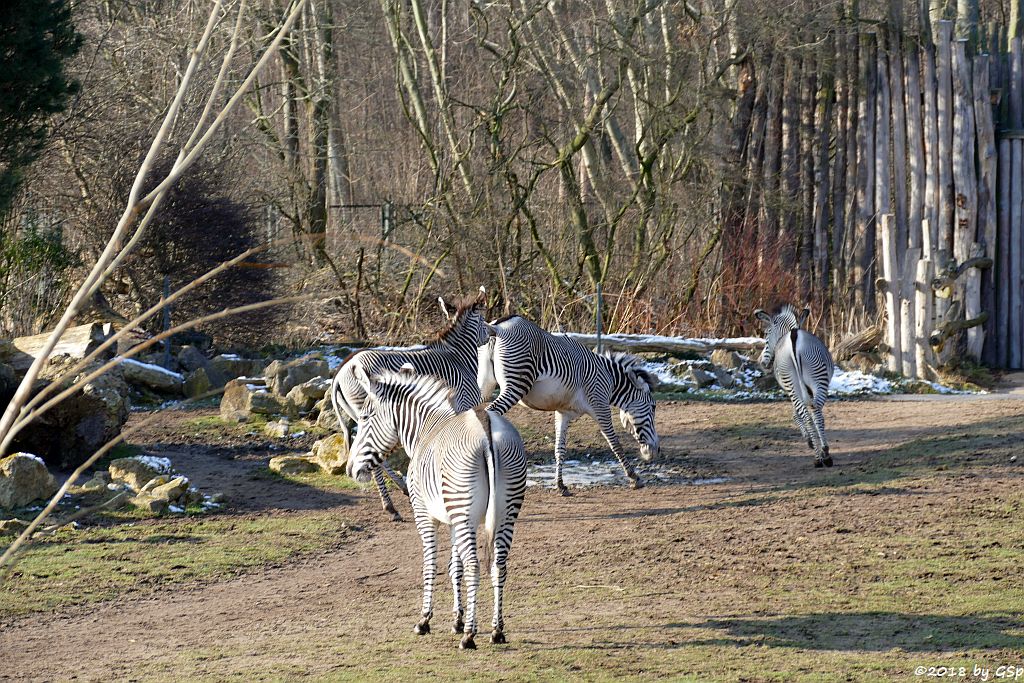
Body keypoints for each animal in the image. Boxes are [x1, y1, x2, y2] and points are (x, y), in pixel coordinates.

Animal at [327, 294, 487, 524]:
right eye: (485, 320)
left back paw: (401, 489)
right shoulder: (463, 405)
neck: (459, 358)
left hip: (358, 414)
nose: (492, 333)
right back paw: (391, 507)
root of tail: (340, 372)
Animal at [350, 366, 532, 651]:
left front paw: (425, 620)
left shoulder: (424, 514)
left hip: (465, 509)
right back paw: (496, 630)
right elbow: (454, 567)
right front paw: (457, 620)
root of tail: (485, 424)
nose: (351, 469)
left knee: (474, 566)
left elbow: (431, 564)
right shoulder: (454, 520)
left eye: (366, 417)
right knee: (498, 565)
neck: (425, 430)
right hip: (505, 511)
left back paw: (470, 637)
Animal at [475, 313, 659, 493]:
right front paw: (634, 478)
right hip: (515, 386)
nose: (655, 451)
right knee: (489, 415)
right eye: (653, 407)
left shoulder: (563, 412)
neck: (610, 379)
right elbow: (615, 443)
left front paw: (561, 485)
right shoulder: (600, 406)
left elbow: (560, 449)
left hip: (484, 384)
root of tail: (497, 327)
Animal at [757, 305, 835, 471]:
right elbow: (799, 414)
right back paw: (823, 455)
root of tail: (794, 337)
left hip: (799, 382)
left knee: (810, 414)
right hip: (816, 381)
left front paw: (810, 440)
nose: (762, 363)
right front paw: (812, 441)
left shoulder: (792, 391)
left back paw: (820, 457)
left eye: (766, 335)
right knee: (814, 413)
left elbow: (796, 414)